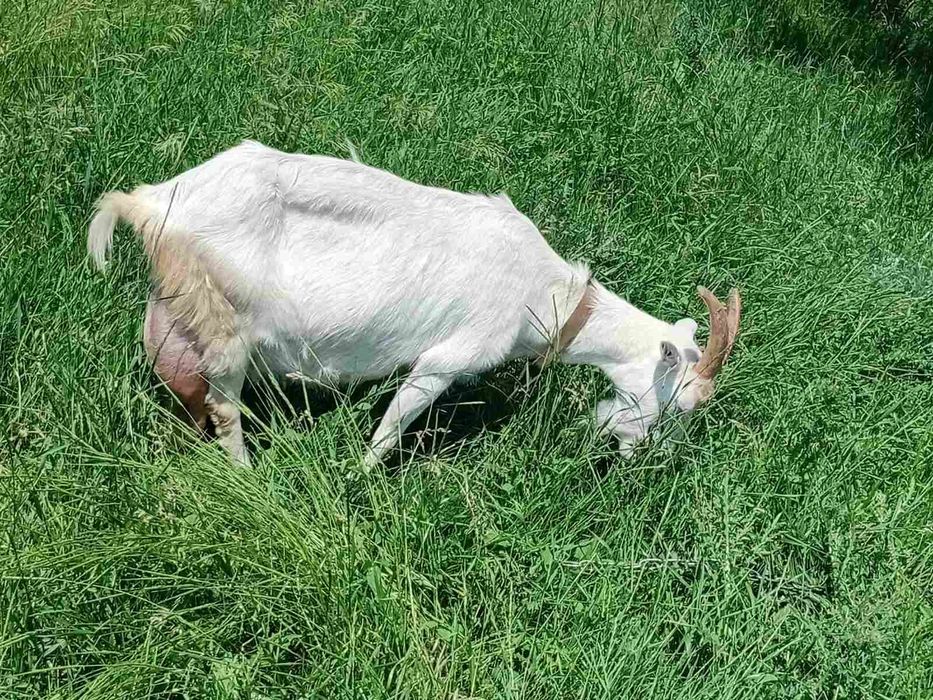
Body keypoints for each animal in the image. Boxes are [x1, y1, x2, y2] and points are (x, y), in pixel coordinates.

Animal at [88, 140, 740, 466]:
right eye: (682, 403)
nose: (647, 460)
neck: (543, 291)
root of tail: (151, 205)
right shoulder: (447, 359)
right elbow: (394, 425)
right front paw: (361, 480)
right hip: (223, 321)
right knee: (225, 410)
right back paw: (247, 477)